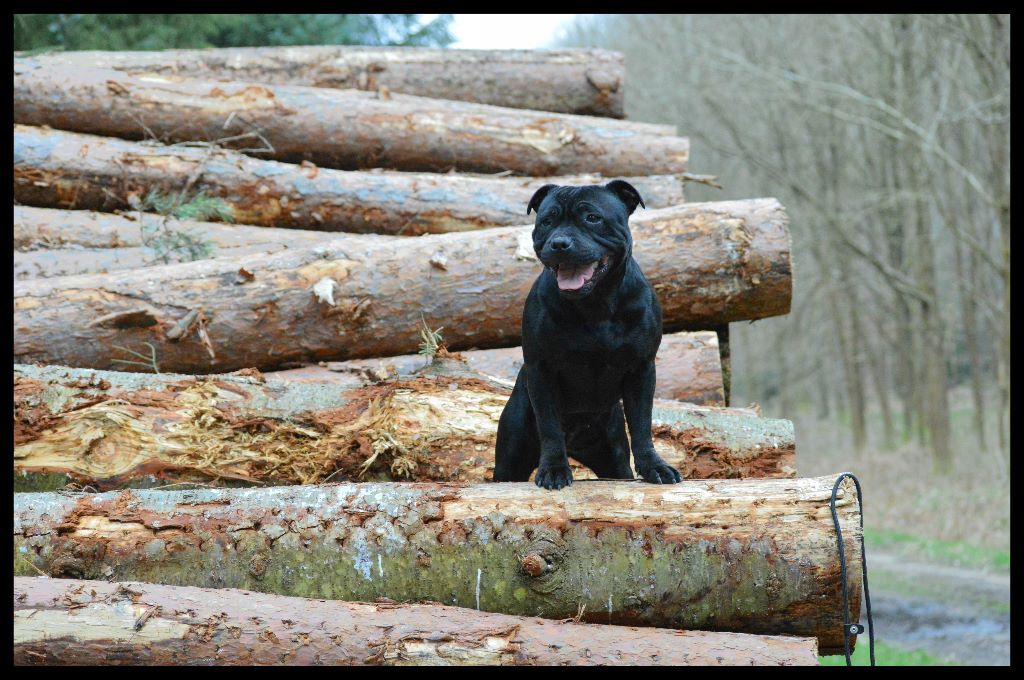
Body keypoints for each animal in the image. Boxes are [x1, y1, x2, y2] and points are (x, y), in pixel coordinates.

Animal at [493, 180, 684, 489]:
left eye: (592, 218)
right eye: (547, 221)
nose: (560, 243)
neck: (595, 304)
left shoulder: (642, 369)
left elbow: (642, 424)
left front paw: (654, 466)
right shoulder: (542, 370)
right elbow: (549, 426)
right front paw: (554, 469)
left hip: (614, 459)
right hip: (510, 458)